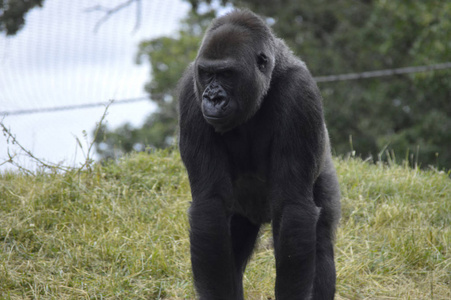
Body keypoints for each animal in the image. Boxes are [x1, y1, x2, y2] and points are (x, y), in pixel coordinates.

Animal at [178, 9, 340, 300]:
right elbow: (210, 205)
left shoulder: (300, 94)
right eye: (207, 74)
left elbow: (292, 208)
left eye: (227, 73)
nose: (212, 98)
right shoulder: (190, 94)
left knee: (320, 243)